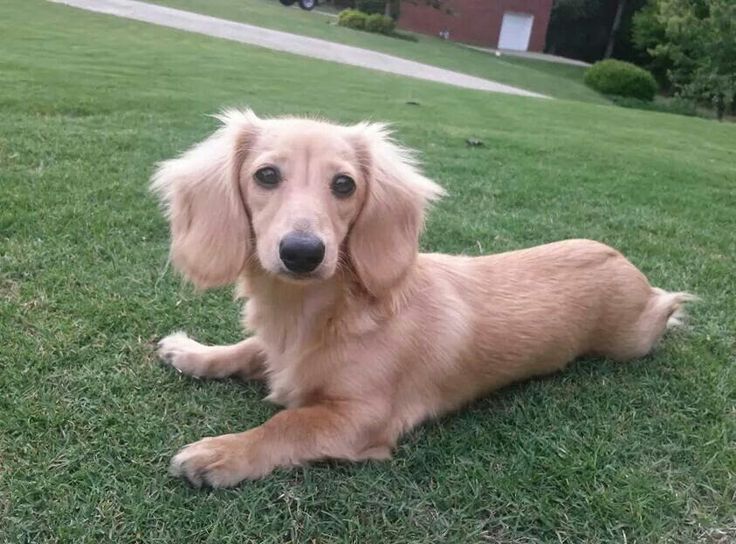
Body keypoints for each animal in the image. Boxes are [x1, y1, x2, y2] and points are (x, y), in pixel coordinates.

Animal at [152, 108, 692, 486]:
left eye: (344, 184)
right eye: (266, 175)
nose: (302, 253)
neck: (319, 312)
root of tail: (620, 259)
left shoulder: (362, 419)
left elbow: (288, 424)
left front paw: (222, 453)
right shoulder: (276, 351)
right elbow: (246, 351)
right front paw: (192, 352)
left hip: (632, 339)